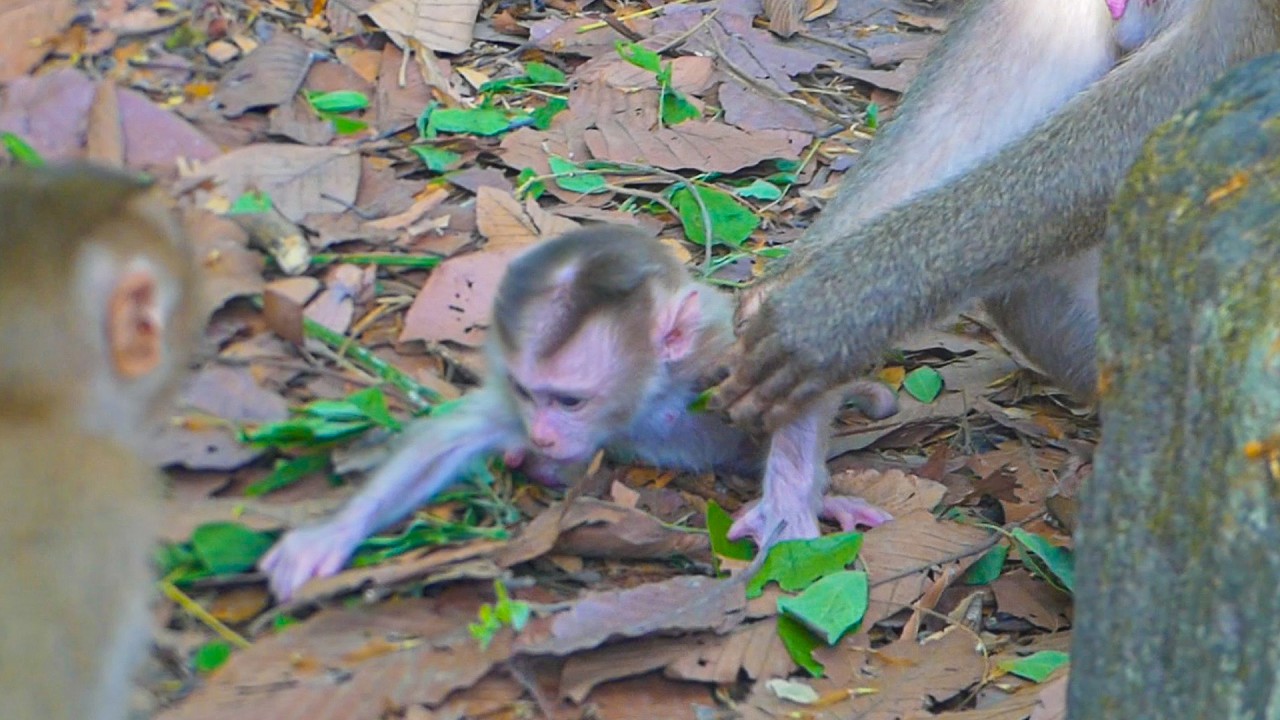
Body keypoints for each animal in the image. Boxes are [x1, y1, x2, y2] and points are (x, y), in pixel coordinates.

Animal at [261, 227, 898, 601]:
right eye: (529, 393)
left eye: (570, 400)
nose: (543, 434)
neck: (645, 397)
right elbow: (451, 439)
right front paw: (330, 535)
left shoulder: (715, 357)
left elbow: (797, 380)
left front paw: (788, 507)